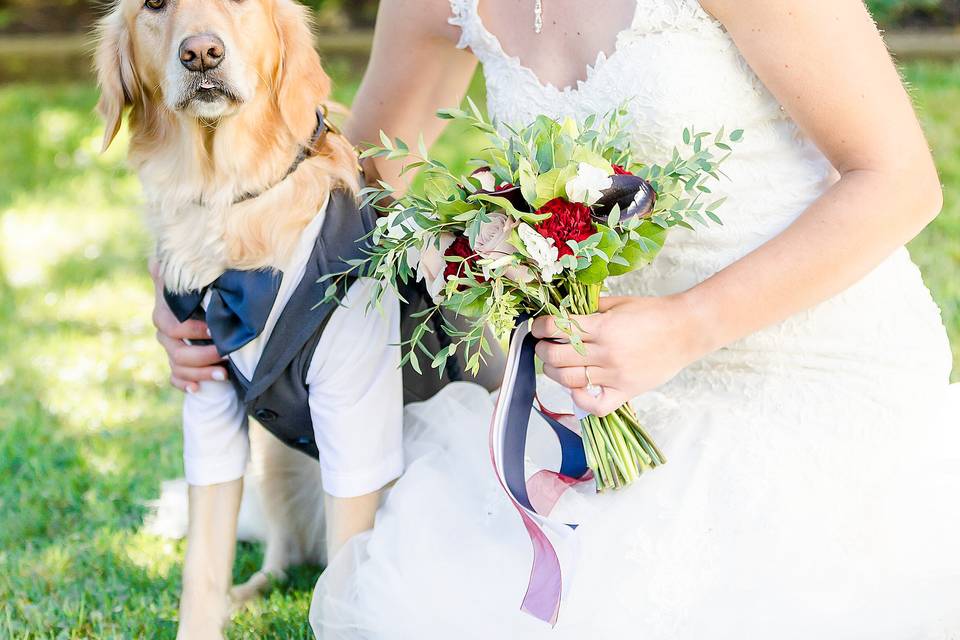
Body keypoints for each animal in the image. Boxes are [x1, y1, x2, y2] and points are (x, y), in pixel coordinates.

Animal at [94, 2, 372, 636]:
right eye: (153, 6)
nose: (201, 54)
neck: (226, 197)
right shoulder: (208, 396)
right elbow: (202, 566)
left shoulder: (354, 407)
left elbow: (348, 575)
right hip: (275, 461)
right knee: (284, 554)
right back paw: (247, 594)